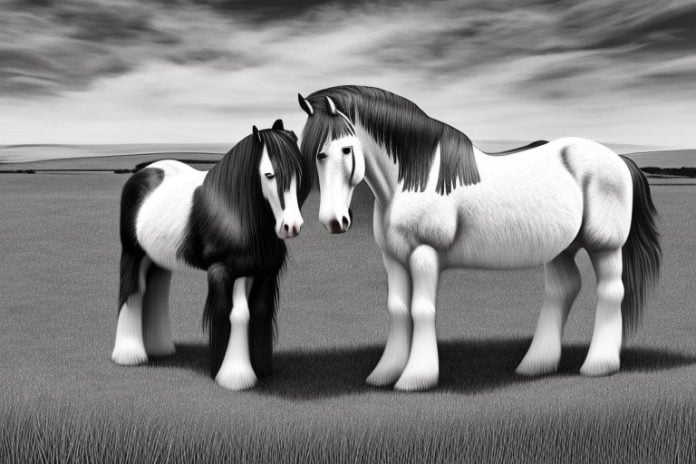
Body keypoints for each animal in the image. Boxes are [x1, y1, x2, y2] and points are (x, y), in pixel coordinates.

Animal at [111, 120, 306, 390]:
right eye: (269, 174)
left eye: (299, 171)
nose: (292, 226)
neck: (233, 210)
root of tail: (143, 173)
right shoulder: (223, 271)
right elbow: (236, 315)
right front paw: (234, 375)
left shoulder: (262, 274)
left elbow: (256, 312)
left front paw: (259, 370)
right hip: (134, 254)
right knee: (134, 293)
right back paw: (129, 354)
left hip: (158, 260)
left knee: (155, 292)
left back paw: (160, 349)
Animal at [297, 85, 661, 391]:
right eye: (315, 153)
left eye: (345, 149)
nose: (334, 221)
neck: (413, 179)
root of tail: (618, 159)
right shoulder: (395, 259)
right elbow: (398, 310)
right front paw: (385, 373)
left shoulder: (424, 255)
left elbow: (421, 310)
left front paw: (415, 377)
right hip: (560, 248)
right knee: (563, 291)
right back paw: (536, 364)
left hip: (605, 246)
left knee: (610, 293)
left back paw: (598, 364)